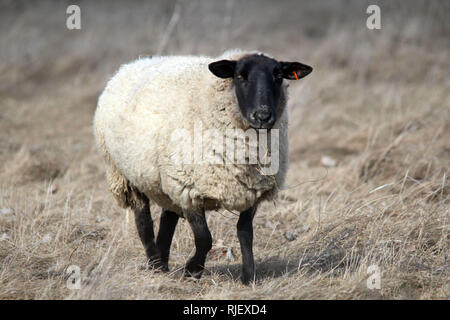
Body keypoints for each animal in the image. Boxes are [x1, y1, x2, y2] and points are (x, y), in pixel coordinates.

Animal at [94, 48, 312, 284]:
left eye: (278, 75)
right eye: (240, 76)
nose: (262, 116)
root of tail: (130, 65)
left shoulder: (251, 190)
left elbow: (245, 233)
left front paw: (248, 276)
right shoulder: (189, 191)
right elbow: (204, 238)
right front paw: (193, 270)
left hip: (168, 180)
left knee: (167, 218)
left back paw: (162, 263)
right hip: (126, 176)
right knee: (144, 223)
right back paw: (155, 263)